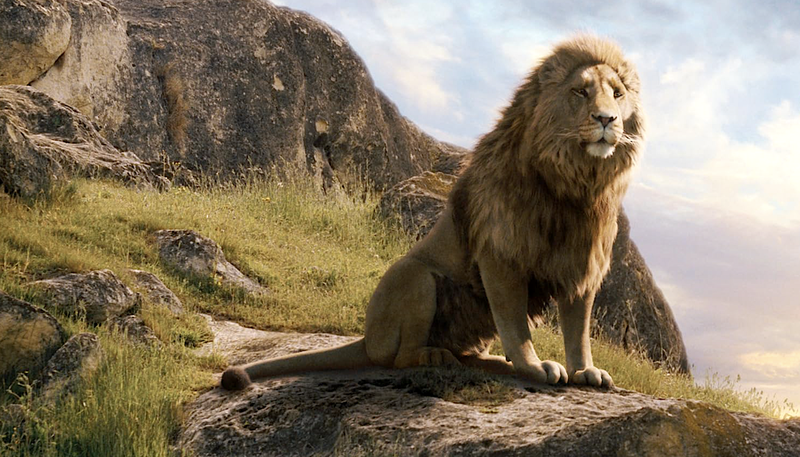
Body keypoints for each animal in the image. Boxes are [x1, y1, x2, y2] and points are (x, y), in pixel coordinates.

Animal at [221, 35, 645, 391]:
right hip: (416, 277)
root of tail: (366, 338)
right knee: (399, 357)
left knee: (463, 352)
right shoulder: (501, 253)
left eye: (617, 94)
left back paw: (489, 362)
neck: (575, 183)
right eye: (580, 91)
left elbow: (578, 330)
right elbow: (515, 324)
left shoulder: (581, 262)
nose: (607, 119)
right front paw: (534, 366)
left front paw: (586, 371)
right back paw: (434, 356)